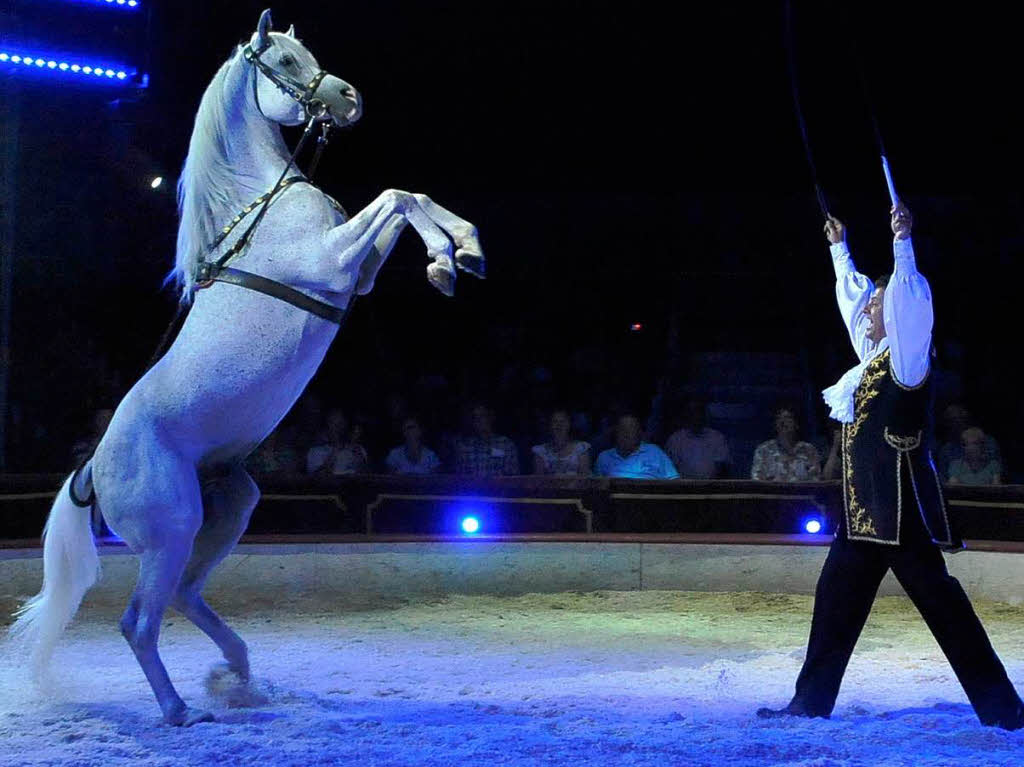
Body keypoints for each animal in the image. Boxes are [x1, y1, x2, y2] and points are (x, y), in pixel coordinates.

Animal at [9, 8, 483, 729]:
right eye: (283, 62)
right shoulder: (330, 260)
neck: (260, 202)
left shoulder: (356, 275)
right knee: (138, 621)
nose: (349, 98)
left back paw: (236, 677)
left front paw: (458, 255)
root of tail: (90, 469)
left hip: (230, 510)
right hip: (171, 530)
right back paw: (182, 709)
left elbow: (409, 197)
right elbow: (396, 196)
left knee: (183, 597)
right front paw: (450, 259)